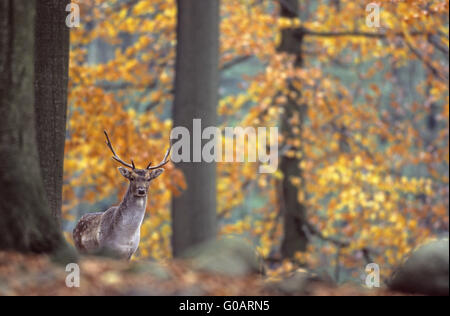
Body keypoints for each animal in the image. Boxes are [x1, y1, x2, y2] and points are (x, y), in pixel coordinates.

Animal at [73, 130, 171, 260]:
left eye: (148, 179)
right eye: (132, 177)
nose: (141, 190)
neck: (126, 238)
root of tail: (75, 226)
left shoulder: (129, 254)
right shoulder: (105, 251)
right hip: (81, 250)